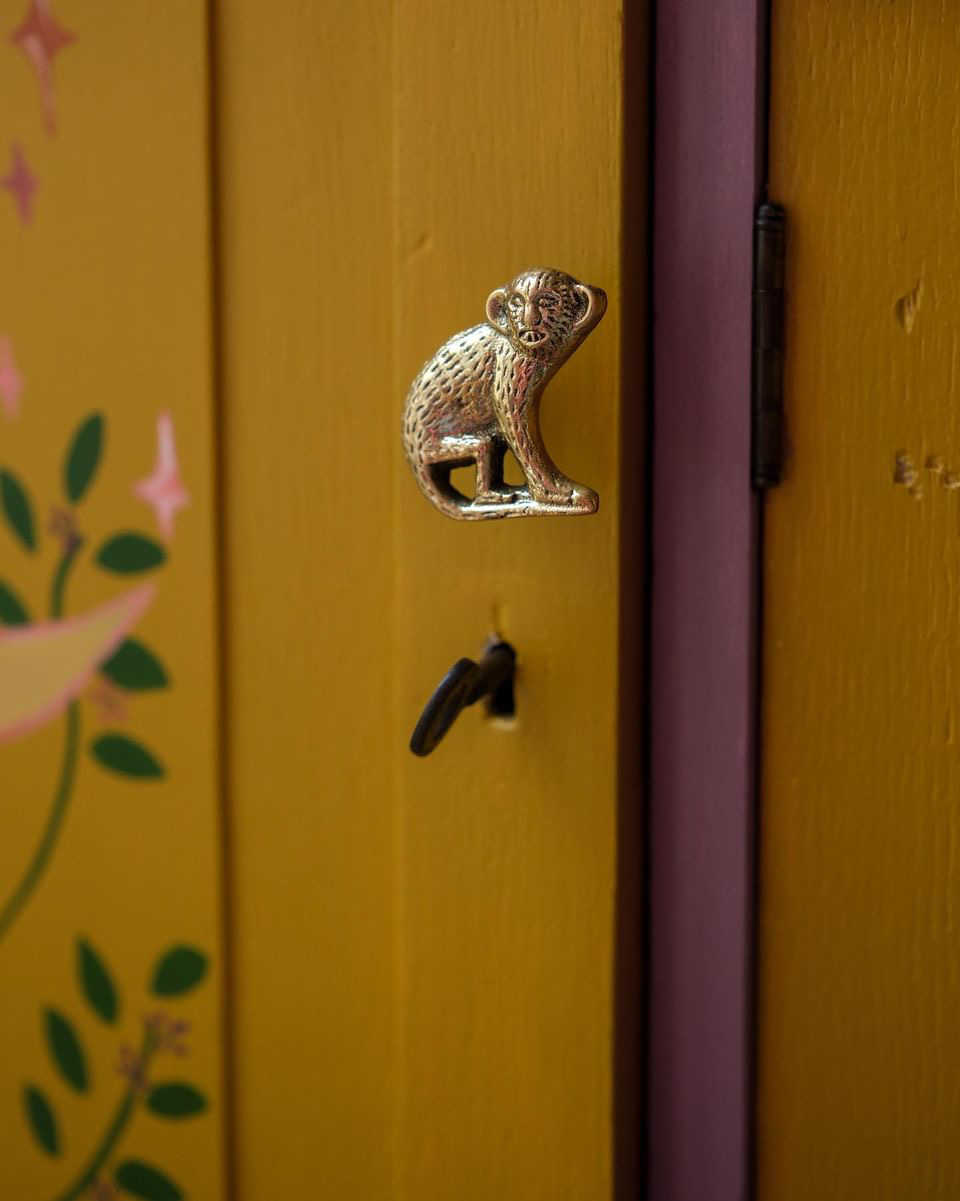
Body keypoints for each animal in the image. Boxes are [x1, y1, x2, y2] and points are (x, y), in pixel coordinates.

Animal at [402, 267, 606, 520]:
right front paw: (555, 493)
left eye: (548, 301)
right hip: (438, 448)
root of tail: (413, 451)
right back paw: (490, 498)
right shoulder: (510, 365)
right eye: (516, 303)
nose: (530, 321)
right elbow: (518, 431)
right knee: (482, 446)